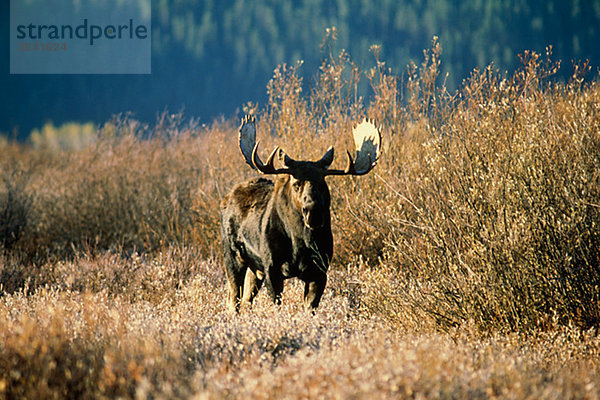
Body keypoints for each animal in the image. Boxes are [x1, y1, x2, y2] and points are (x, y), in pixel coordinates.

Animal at [219, 115, 380, 312]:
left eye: (322, 183)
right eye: (296, 183)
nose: (313, 212)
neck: (299, 243)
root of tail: (226, 198)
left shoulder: (319, 271)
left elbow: (310, 308)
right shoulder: (272, 268)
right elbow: (277, 306)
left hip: (255, 269)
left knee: (246, 300)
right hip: (233, 256)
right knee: (233, 300)